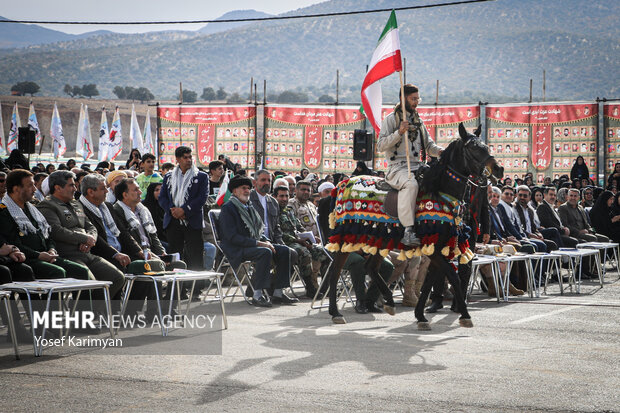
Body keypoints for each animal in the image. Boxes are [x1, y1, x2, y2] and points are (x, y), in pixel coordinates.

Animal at [324, 121, 504, 326]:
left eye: (485, 146)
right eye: (473, 148)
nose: (498, 169)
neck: (440, 191)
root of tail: (343, 184)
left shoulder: (437, 247)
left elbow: (429, 283)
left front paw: (421, 315)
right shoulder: (433, 249)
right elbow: (453, 277)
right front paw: (465, 315)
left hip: (380, 238)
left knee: (370, 267)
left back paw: (389, 301)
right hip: (346, 237)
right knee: (336, 271)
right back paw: (335, 312)